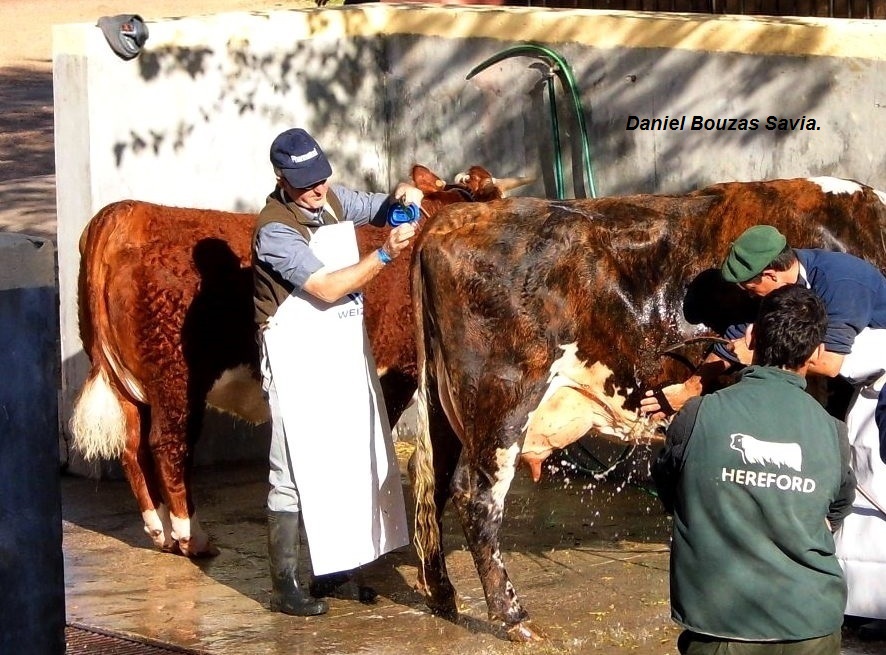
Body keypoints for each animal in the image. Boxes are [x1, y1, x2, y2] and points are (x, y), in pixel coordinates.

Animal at [70, 164, 527, 557]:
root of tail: (127, 214)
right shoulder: (399, 372)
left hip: (130, 386)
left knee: (133, 448)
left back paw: (160, 531)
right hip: (176, 379)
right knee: (167, 445)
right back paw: (190, 536)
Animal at [408, 176, 886, 641]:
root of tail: (455, 217)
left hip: (445, 407)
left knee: (431, 483)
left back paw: (442, 594)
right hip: (503, 397)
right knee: (475, 493)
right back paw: (515, 618)